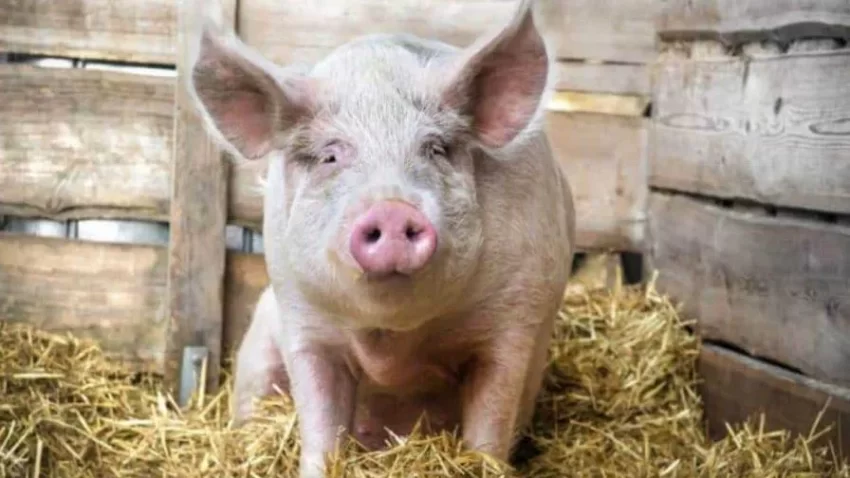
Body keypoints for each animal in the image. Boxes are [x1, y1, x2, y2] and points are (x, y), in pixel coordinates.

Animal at [187, 0, 576, 476]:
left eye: (435, 149)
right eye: (330, 156)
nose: (391, 208)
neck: (393, 341)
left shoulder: (514, 320)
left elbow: (490, 422)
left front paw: (480, 462)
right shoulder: (302, 318)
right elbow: (319, 425)